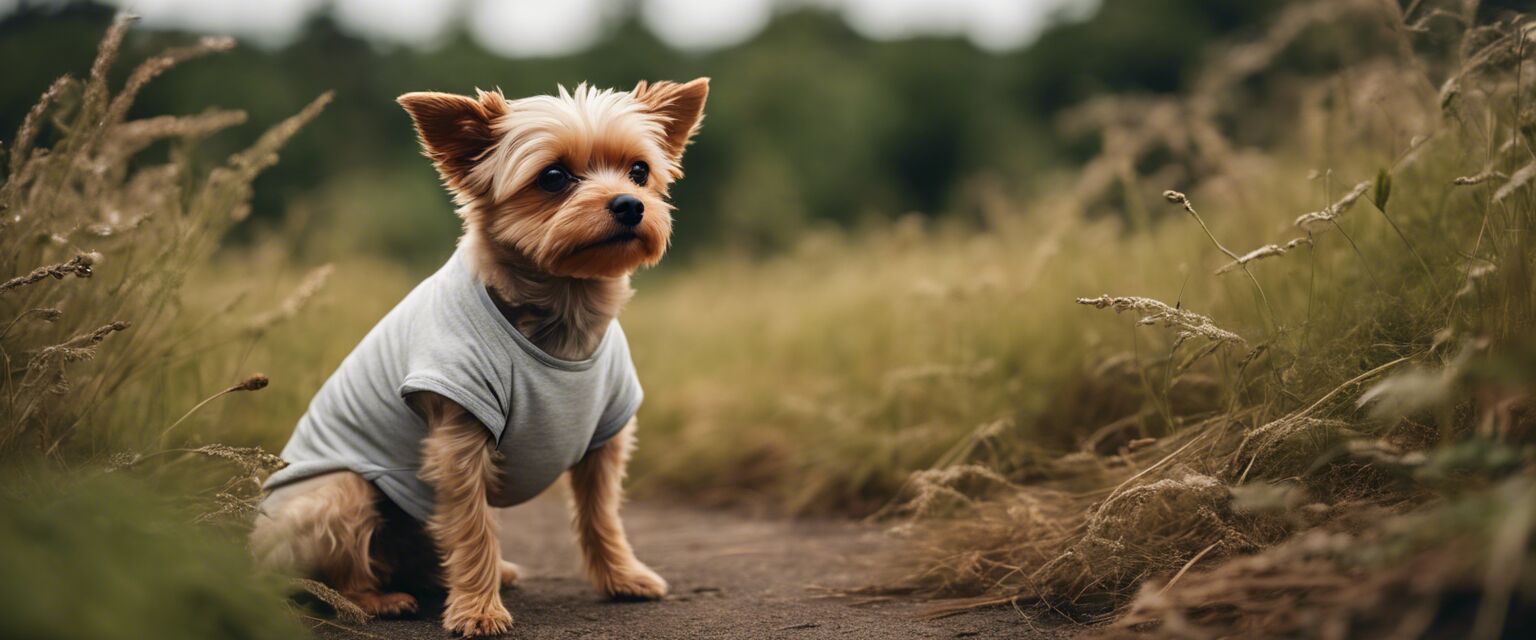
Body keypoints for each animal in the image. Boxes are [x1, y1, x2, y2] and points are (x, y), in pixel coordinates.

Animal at [248, 78, 709, 632]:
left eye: (639, 171)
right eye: (554, 177)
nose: (629, 205)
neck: (562, 310)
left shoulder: (605, 434)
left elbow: (601, 514)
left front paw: (622, 576)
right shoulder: (459, 440)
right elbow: (473, 529)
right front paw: (478, 610)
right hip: (342, 489)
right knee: (333, 575)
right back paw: (377, 600)